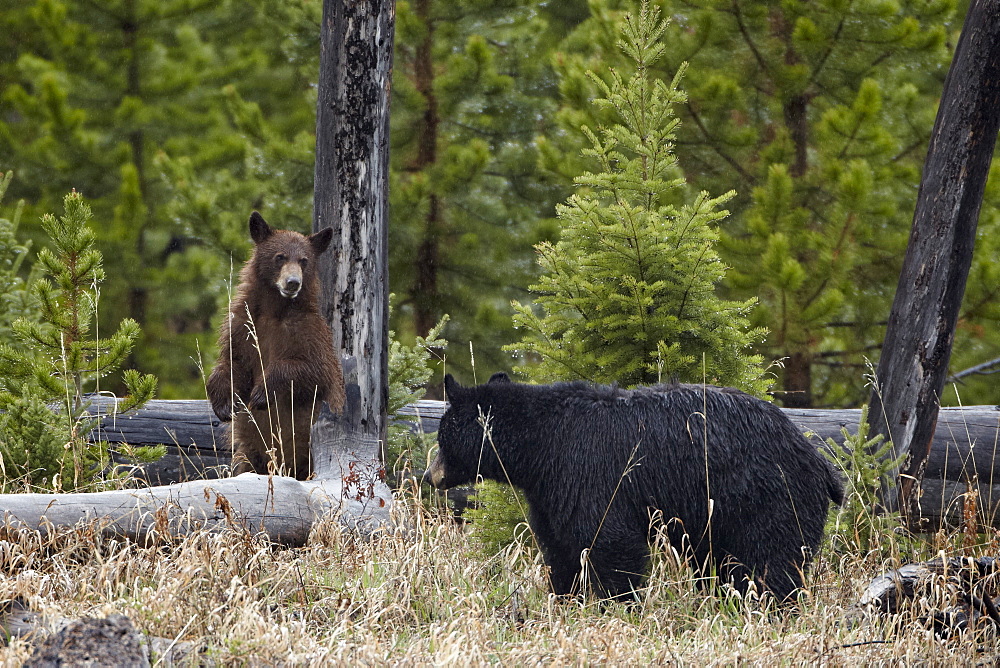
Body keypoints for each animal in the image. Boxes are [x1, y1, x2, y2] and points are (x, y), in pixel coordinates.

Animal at [205, 211, 346, 478]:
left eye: (304, 260)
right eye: (280, 256)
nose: (292, 282)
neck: (274, 309)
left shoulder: (308, 333)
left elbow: (316, 371)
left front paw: (261, 392)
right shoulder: (242, 326)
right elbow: (232, 361)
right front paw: (223, 403)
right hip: (251, 451)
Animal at [422, 374, 844, 604]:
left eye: (442, 436)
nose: (430, 476)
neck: (540, 448)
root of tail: (821, 463)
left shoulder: (590, 473)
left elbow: (610, 543)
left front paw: (618, 604)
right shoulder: (550, 491)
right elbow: (559, 545)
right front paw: (565, 597)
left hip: (767, 498)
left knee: (770, 560)